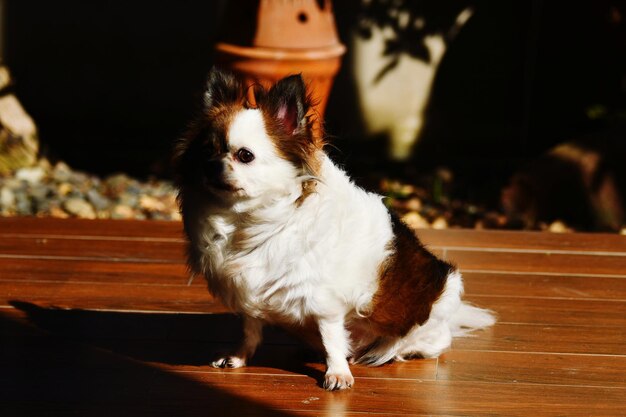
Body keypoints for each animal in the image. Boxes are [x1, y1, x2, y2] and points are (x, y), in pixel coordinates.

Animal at [173, 68, 494, 390]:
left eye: (245, 155)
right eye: (206, 151)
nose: (211, 165)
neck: (246, 220)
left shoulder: (324, 302)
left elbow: (331, 338)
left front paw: (337, 372)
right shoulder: (250, 293)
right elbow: (250, 329)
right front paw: (239, 357)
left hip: (433, 310)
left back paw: (385, 352)